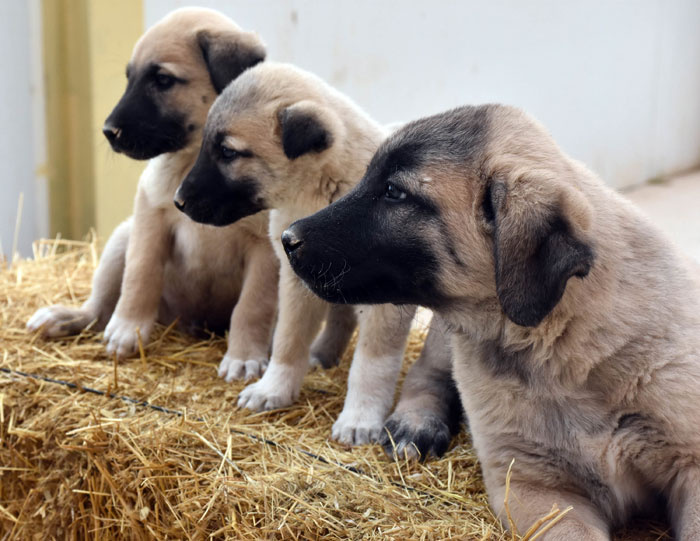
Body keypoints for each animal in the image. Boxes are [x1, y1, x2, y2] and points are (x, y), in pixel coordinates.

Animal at [29, 9, 282, 380]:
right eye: (129, 78)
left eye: (163, 80)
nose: (108, 131)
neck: (194, 162)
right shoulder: (150, 219)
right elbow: (140, 275)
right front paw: (128, 329)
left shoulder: (264, 250)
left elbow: (252, 307)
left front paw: (244, 356)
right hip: (122, 238)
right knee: (98, 307)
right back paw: (66, 317)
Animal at [174, 62, 416, 442]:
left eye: (228, 152)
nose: (178, 202)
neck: (320, 191)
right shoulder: (295, 280)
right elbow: (288, 340)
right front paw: (273, 389)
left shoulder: (388, 304)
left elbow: (372, 364)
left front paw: (360, 419)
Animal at [282, 103, 700, 536]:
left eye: (394, 192)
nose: (286, 239)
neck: (559, 346)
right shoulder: (537, 486)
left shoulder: (691, 466)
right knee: (425, 373)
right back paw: (416, 423)